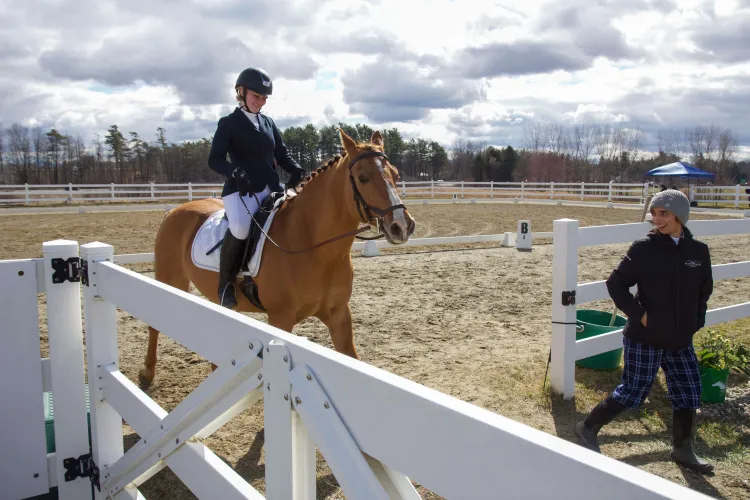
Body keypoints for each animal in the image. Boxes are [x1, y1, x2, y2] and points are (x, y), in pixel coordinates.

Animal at [138, 129, 416, 387]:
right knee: (154, 324)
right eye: (363, 178)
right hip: (169, 280)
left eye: (396, 175)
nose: (402, 226)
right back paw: (147, 374)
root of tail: (175, 211)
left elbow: (351, 358)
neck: (312, 245)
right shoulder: (280, 319)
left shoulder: (338, 314)